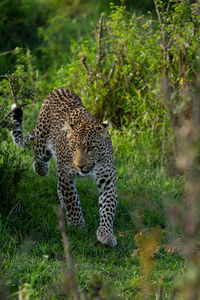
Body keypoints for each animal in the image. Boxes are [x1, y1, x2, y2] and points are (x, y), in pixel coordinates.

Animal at [10, 86, 117, 246]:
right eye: (73, 148)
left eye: (91, 148)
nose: (80, 166)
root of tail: (59, 88)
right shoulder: (66, 174)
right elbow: (72, 201)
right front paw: (78, 227)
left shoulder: (107, 180)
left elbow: (108, 206)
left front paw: (106, 234)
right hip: (43, 144)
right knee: (38, 155)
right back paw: (41, 169)